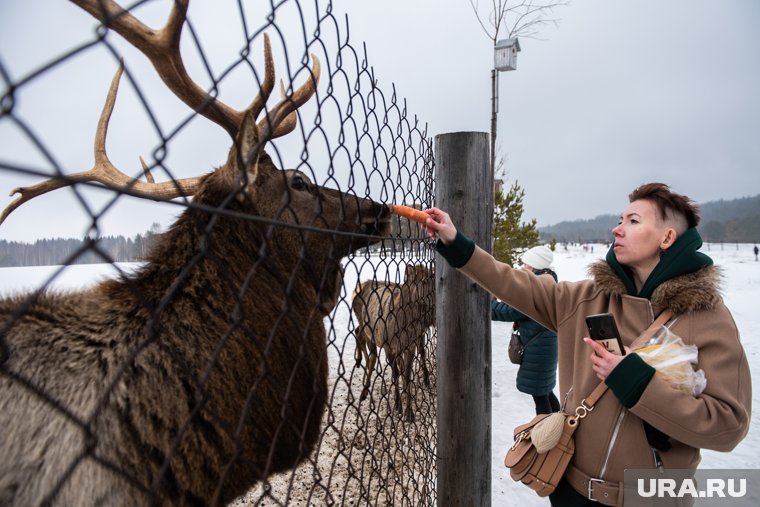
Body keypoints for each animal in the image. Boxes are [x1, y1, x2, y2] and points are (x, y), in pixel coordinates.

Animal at [350, 264, 434, 422]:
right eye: (424, 281)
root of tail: (356, 288)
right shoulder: (389, 346)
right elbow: (396, 374)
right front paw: (398, 406)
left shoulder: (410, 345)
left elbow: (406, 374)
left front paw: (409, 412)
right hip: (368, 328)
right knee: (370, 351)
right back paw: (364, 389)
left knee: (359, 335)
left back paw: (361, 364)